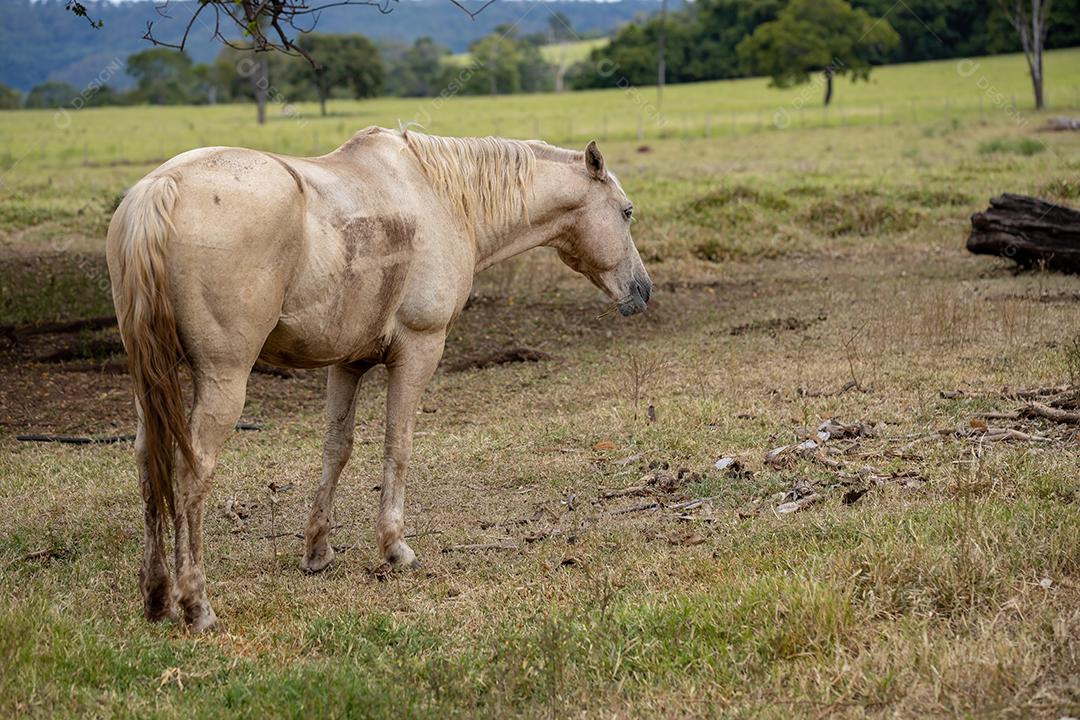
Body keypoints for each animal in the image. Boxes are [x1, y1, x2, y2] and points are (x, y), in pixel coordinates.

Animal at [106, 127, 652, 633]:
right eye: (626, 212)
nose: (642, 290)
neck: (439, 195)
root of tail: (163, 186)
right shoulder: (419, 350)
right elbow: (398, 444)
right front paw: (394, 547)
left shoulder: (347, 364)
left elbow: (337, 449)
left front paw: (317, 551)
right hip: (224, 378)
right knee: (192, 471)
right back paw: (196, 604)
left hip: (149, 384)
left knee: (148, 462)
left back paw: (157, 595)